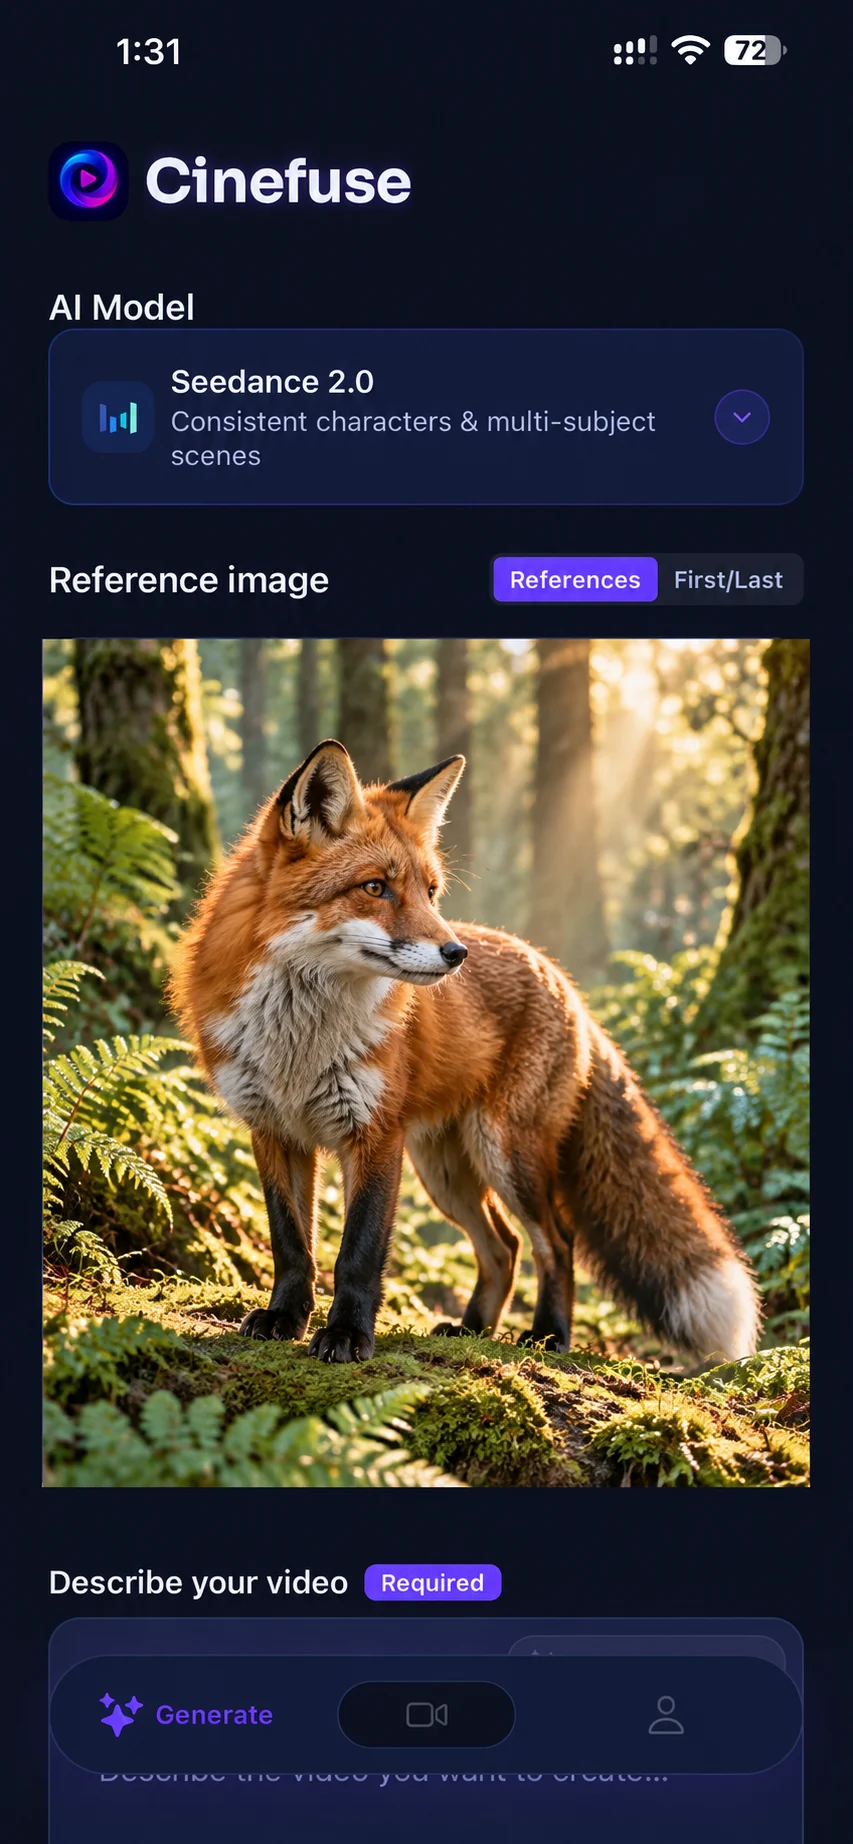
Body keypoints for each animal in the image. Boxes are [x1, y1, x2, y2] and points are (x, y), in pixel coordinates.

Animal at [170, 739, 760, 1365]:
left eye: (430, 892)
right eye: (375, 888)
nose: (457, 954)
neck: (299, 1040)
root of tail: (559, 976)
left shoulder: (375, 1135)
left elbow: (358, 1252)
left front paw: (347, 1334)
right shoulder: (273, 1131)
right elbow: (289, 1244)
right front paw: (285, 1318)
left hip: (504, 1153)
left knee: (556, 1241)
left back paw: (548, 1334)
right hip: (445, 1171)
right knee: (503, 1246)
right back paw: (474, 1327)